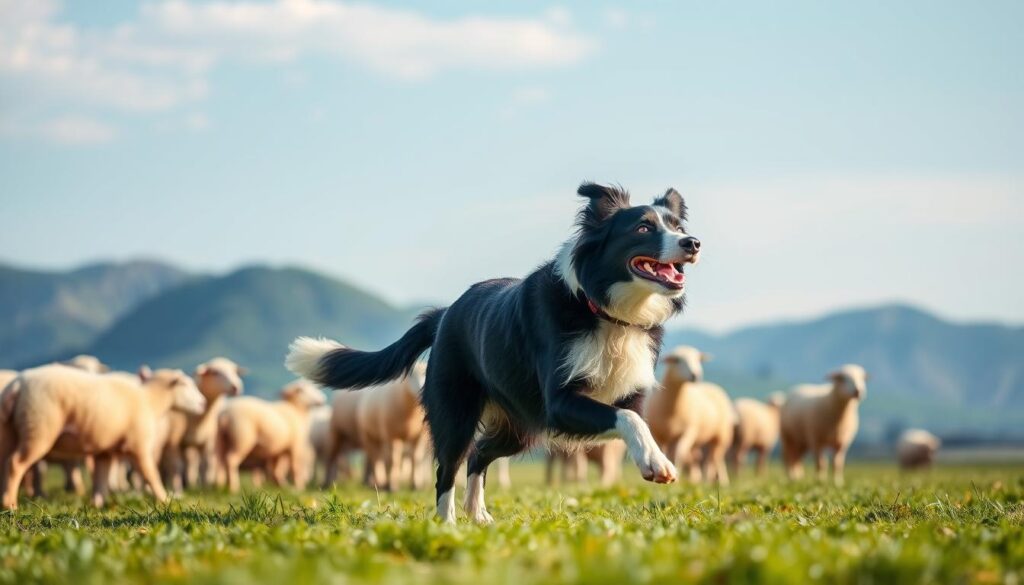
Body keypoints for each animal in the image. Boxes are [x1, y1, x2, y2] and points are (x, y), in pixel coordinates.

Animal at [0, 366, 203, 508]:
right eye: (186, 384)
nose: (202, 402)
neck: (150, 401)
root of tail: (16, 385)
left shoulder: (105, 452)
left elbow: (101, 479)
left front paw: (97, 504)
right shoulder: (139, 445)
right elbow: (150, 474)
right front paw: (164, 499)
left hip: (9, 432)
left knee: (6, 463)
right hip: (39, 428)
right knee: (15, 464)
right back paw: (10, 505)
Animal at [160, 358, 246, 491]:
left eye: (234, 371)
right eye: (215, 372)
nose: (236, 386)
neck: (198, 419)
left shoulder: (208, 442)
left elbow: (206, 466)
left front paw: (206, 488)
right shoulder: (175, 442)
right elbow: (176, 465)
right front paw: (177, 489)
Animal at [647, 346, 737, 487]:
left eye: (698, 359)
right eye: (677, 360)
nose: (695, 375)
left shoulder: (687, 432)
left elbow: (679, 454)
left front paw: (676, 479)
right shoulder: (659, 434)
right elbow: (662, 453)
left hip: (721, 436)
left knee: (715, 458)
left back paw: (715, 481)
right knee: (699, 458)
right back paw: (699, 479)